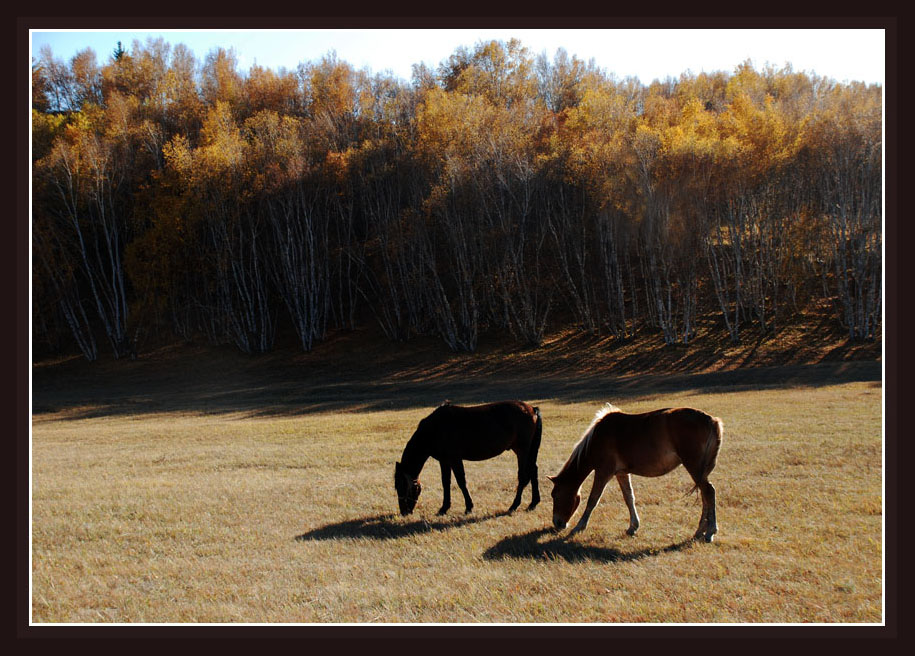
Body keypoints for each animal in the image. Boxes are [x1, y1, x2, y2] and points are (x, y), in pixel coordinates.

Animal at [396, 400, 544, 516]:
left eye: (402, 487)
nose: (404, 512)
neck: (434, 429)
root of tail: (532, 409)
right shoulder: (444, 461)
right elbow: (445, 482)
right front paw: (444, 508)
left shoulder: (455, 459)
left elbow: (461, 481)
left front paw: (468, 507)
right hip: (526, 451)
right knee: (533, 470)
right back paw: (533, 503)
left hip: (522, 450)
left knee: (523, 476)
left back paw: (514, 505)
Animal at [548, 404, 728, 544]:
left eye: (555, 495)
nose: (557, 523)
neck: (598, 438)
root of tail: (712, 421)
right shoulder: (621, 473)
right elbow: (629, 498)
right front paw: (633, 526)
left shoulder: (603, 472)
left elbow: (593, 500)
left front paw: (579, 527)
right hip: (699, 472)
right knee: (705, 496)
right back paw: (699, 531)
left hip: (694, 468)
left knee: (709, 492)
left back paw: (710, 531)